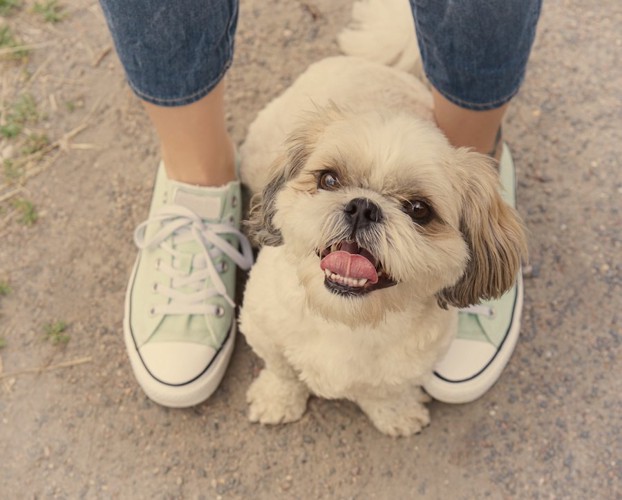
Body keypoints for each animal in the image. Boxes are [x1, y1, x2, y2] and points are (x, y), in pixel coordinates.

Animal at [236, 0, 528, 436]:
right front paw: (278, 399)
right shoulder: (262, 329)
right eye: (329, 179)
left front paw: (396, 413)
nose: (363, 206)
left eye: (419, 210)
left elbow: (384, 392)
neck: (344, 320)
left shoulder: (410, 365)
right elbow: (282, 369)